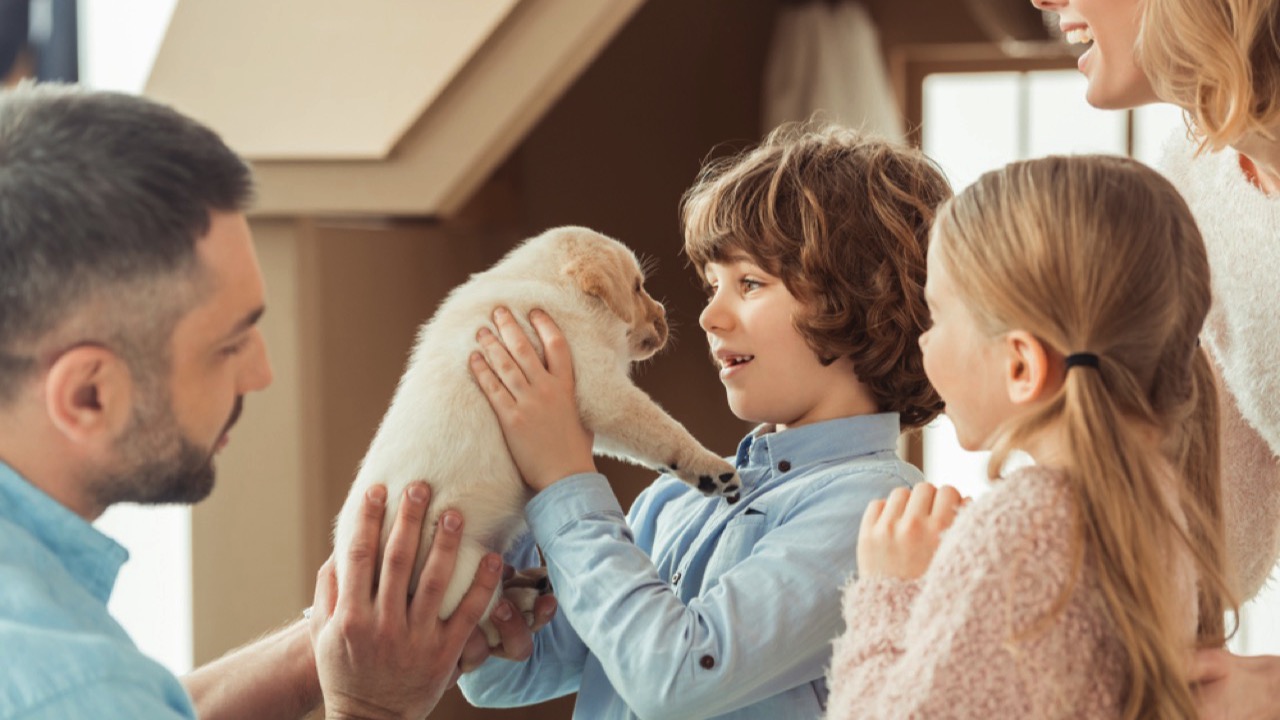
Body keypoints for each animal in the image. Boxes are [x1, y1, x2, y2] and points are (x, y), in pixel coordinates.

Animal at [335, 222, 747, 638]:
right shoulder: (603, 391)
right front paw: (713, 469)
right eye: (636, 287)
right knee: (486, 621)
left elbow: (646, 443)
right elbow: (663, 428)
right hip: (461, 567)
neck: (550, 286)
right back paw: (526, 601)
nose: (663, 314)